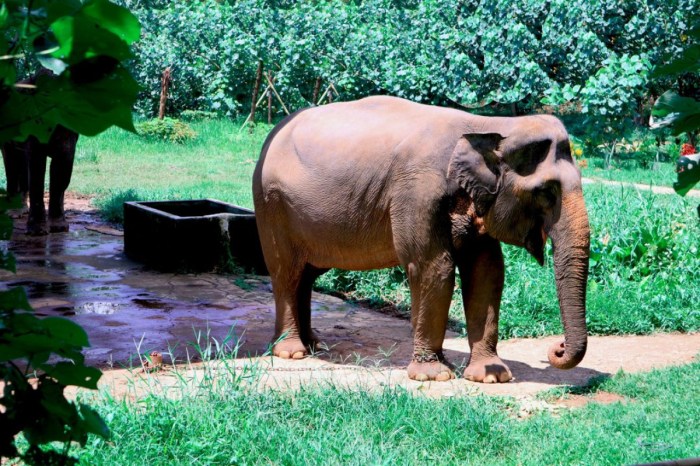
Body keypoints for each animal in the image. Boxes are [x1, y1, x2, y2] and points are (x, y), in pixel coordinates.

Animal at [253, 94, 592, 382]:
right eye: (546, 192)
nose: (557, 348)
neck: (487, 124)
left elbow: (487, 271)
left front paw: (492, 375)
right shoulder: (416, 192)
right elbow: (434, 267)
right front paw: (434, 375)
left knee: (307, 274)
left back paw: (315, 344)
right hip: (272, 205)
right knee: (286, 272)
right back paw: (292, 351)